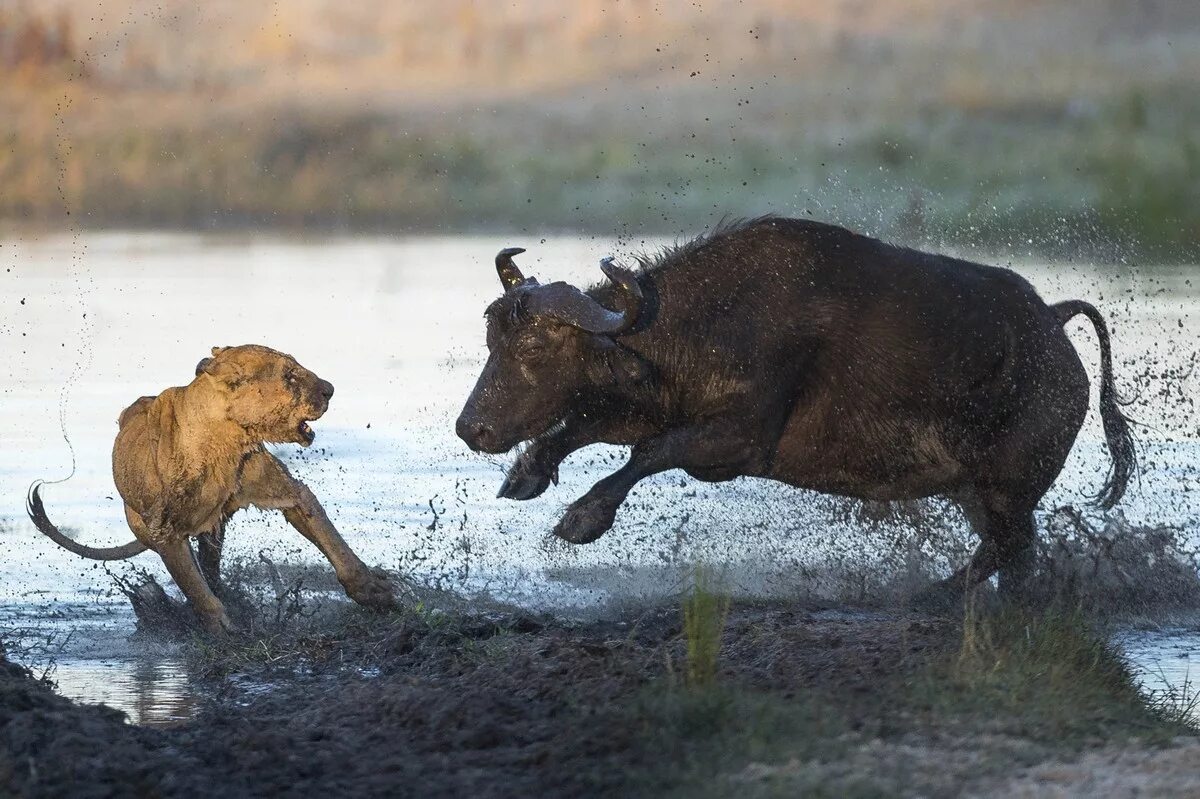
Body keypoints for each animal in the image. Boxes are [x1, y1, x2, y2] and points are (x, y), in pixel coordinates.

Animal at [456, 215, 1132, 590]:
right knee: (1015, 554)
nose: (472, 429)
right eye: (493, 338)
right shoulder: (653, 405)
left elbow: (648, 452)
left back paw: (929, 596)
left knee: (1006, 549)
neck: (714, 321)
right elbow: (585, 425)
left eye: (535, 348)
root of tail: (1053, 323)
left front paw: (582, 518)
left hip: (1007, 487)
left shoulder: (736, 442)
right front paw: (526, 473)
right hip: (980, 492)